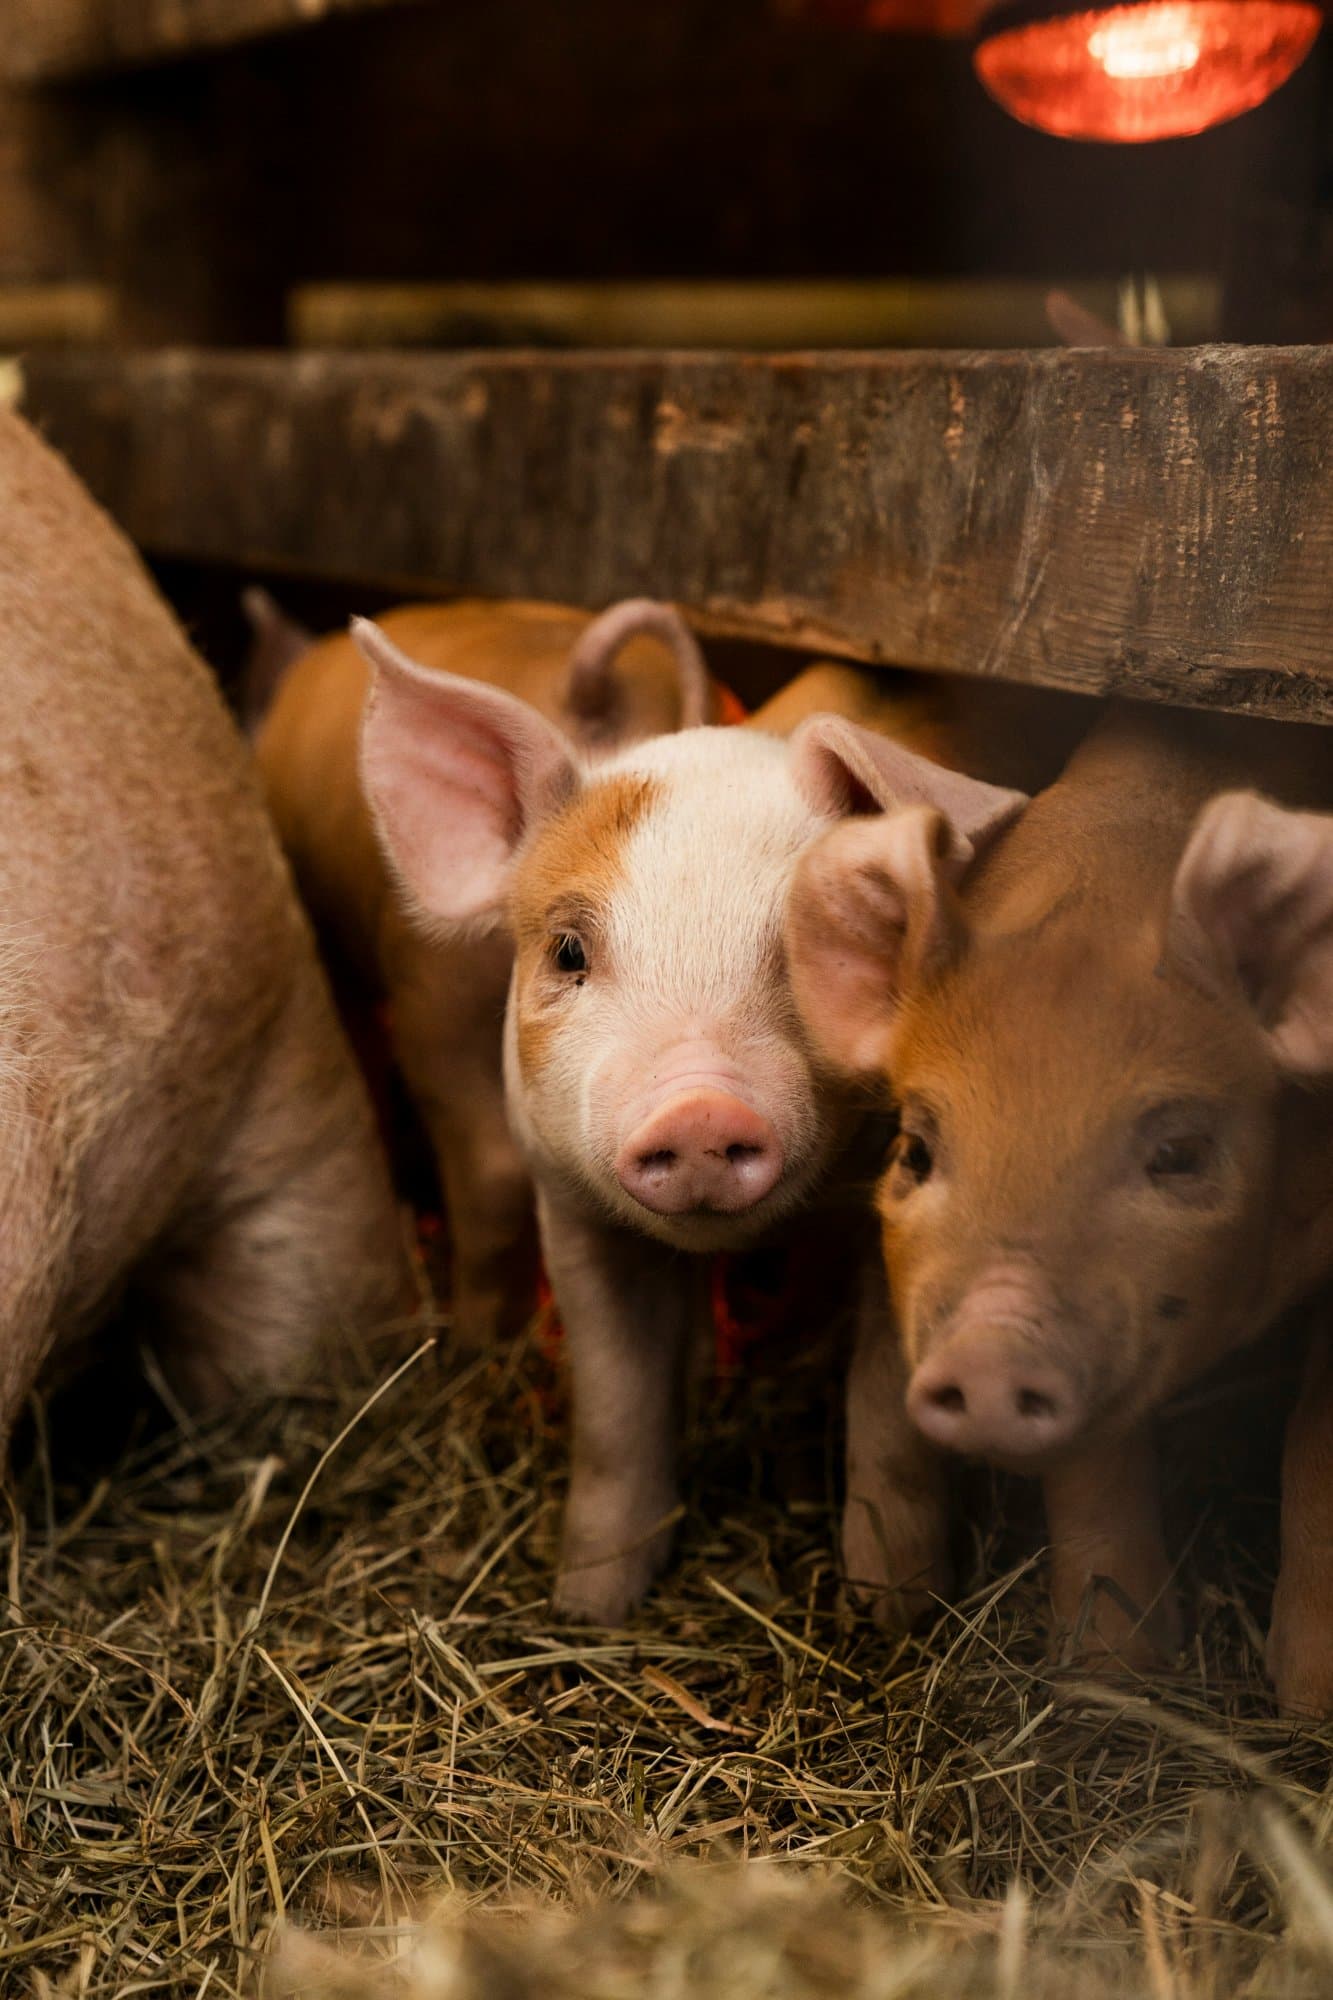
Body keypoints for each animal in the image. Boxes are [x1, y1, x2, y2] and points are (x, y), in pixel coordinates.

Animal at [355, 615, 1057, 1621]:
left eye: (814, 944)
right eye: (567, 950)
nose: (695, 1107)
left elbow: (889, 1417)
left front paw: (893, 1614)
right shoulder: (571, 1210)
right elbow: (616, 1410)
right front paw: (589, 1606)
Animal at [785, 700, 1333, 1713]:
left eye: (1179, 1153)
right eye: (915, 1150)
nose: (989, 1353)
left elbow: (1318, 1442)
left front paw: (1308, 1707)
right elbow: (1094, 1469)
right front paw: (1114, 1678)